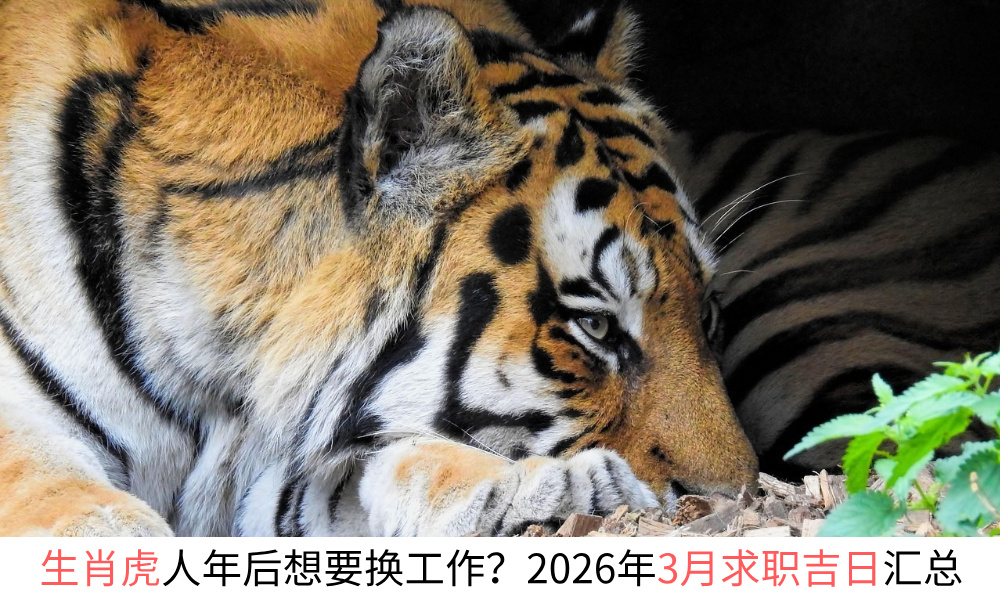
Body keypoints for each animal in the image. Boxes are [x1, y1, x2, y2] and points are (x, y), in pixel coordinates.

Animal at [0, 0, 757, 536]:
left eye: (708, 312)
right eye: (596, 328)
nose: (739, 498)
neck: (228, 374)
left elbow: (379, 471)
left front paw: (555, 488)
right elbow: (98, 517)